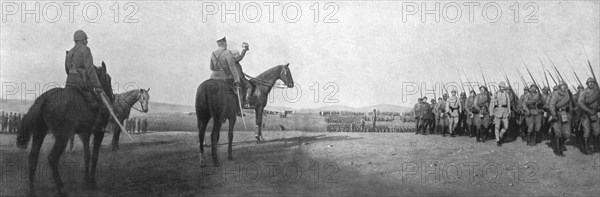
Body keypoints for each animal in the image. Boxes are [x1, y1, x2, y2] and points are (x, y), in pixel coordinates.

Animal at [16, 62, 113, 196]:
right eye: (108, 79)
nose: (112, 97)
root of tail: (44, 98)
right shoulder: (99, 132)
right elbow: (94, 156)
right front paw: (92, 183)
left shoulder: (85, 133)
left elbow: (87, 155)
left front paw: (86, 181)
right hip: (62, 137)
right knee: (52, 158)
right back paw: (61, 189)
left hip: (39, 134)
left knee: (33, 158)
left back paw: (32, 190)